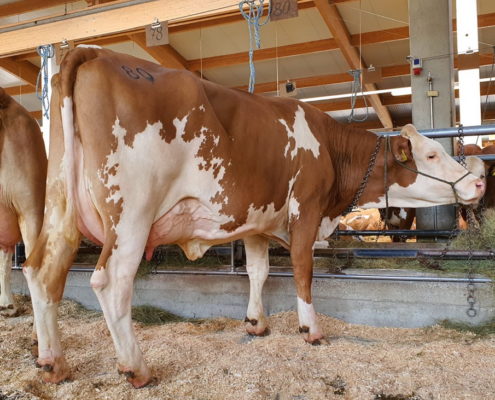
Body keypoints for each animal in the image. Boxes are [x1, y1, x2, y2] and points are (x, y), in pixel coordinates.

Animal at [23, 47, 484, 388]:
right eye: (432, 154)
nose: (478, 182)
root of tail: (93, 51)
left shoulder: (256, 221)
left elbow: (258, 271)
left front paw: (255, 323)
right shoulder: (305, 210)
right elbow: (301, 270)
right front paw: (310, 330)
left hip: (61, 208)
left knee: (40, 272)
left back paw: (52, 362)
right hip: (131, 213)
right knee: (111, 282)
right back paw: (136, 367)